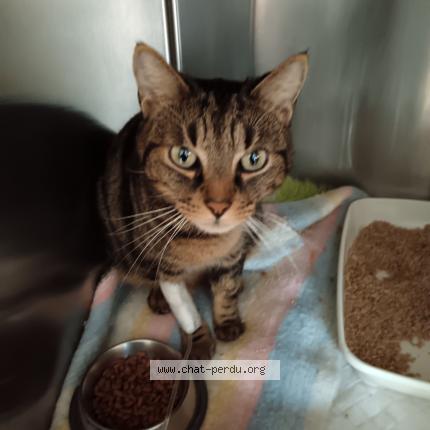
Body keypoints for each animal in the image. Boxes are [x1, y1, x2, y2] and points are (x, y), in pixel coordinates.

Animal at [98, 42, 308, 358]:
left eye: (254, 159)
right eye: (183, 156)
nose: (218, 206)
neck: (205, 243)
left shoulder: (234, 252)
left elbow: (227, 287)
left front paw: (227, 320)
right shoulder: (168, 270)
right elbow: (185, 310)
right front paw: (197, 342)